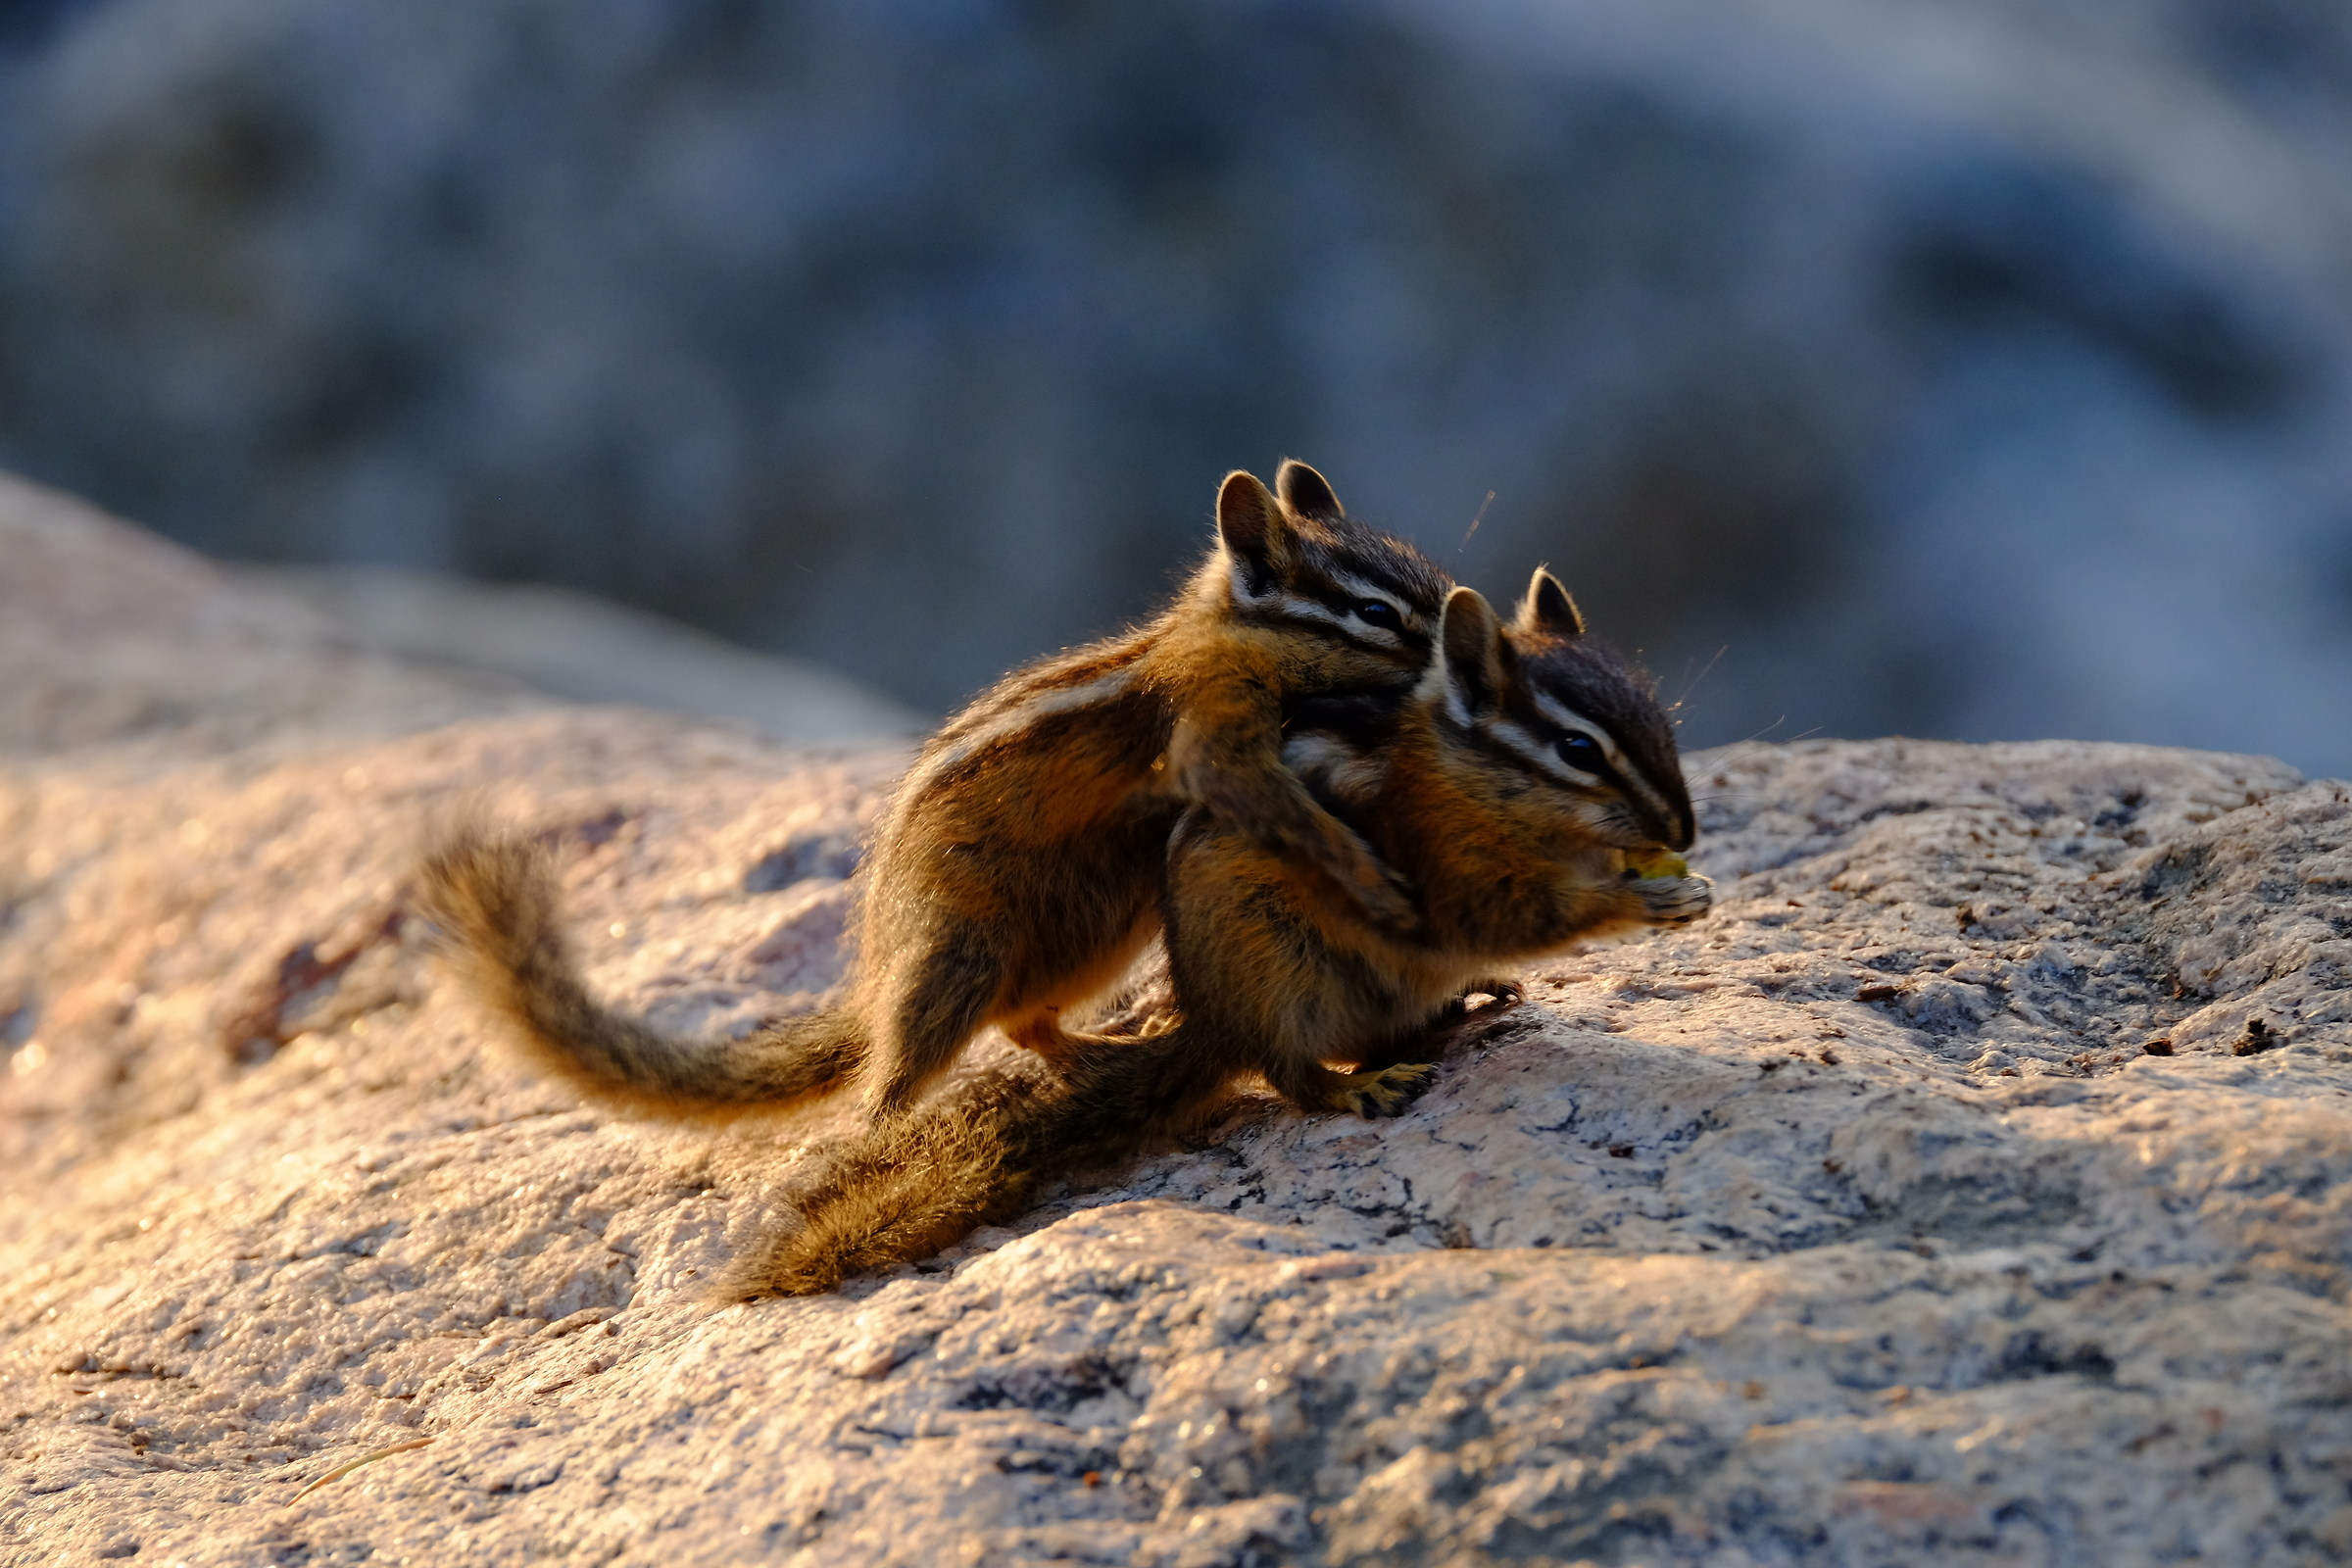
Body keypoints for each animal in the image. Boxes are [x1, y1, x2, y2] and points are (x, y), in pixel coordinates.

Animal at [418, 461, 1458, 1120]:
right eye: (1377, 612)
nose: (1460, 641)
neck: (1222, 634)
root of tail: (876, 974)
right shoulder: (1213, 721)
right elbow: (1261, 797)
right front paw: (1365, 872)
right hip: (958, 957)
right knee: (898, 1073)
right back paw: (890, 1129)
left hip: (1092, 936)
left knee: (1028, 1023)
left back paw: (1111, 1048)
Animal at [739, 573, 1712, 1295]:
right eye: (1578, 750)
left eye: (1659, 724)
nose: (1684, 828)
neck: (1458, 773)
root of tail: (1209, 1024)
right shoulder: (1442, 870)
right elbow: (1509, 914)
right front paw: (1649, 901)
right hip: (1276, 971)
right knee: (1291, 1074)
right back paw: (1359, 1085)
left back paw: (1462, 1001)